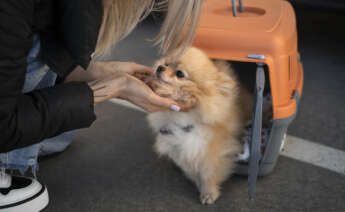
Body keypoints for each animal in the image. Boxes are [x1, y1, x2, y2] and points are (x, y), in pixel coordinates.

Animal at [146, 47, 251, 204]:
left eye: (180, 74)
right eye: (166, 63)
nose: (160, 67)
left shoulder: (211, 151)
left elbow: (208, 173)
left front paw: (209, 192)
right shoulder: (180, 148)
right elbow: (191, 169)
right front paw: (197, 182)